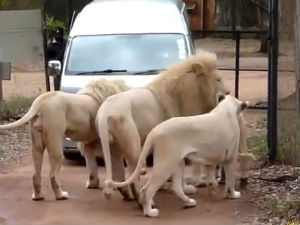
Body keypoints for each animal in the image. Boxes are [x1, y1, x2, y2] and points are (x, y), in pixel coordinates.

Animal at [0, 78, 129, 200]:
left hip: (36, 142)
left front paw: (93, 184)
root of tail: (40, 100)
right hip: (55, 139)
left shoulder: (88, 143)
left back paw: (38, 196)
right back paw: (61, 195)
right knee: (52, 175)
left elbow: (91, 164)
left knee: (35, 173)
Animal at [95, 51, 233, 202]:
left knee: (118, 171)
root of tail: (104, 112)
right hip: (132, 143)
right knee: (133, 172)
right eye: (218, 79)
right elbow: (180, 167)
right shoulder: (179, 140)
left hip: (113, 146)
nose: (227, 92)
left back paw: (128, 195)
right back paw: (141, 198)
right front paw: (186, 189)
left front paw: (164, 186)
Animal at [105, 94, 248, 216]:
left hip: (178, 163)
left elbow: (210, 172)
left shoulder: (210, 158)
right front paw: (232, 194)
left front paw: (212, 185)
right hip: (165, 164)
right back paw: (150, 212)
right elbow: (230, 180)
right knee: (147, 189)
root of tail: (154, 131)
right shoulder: (231, 158)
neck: (226, 110)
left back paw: (188, 202)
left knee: (176, 188)